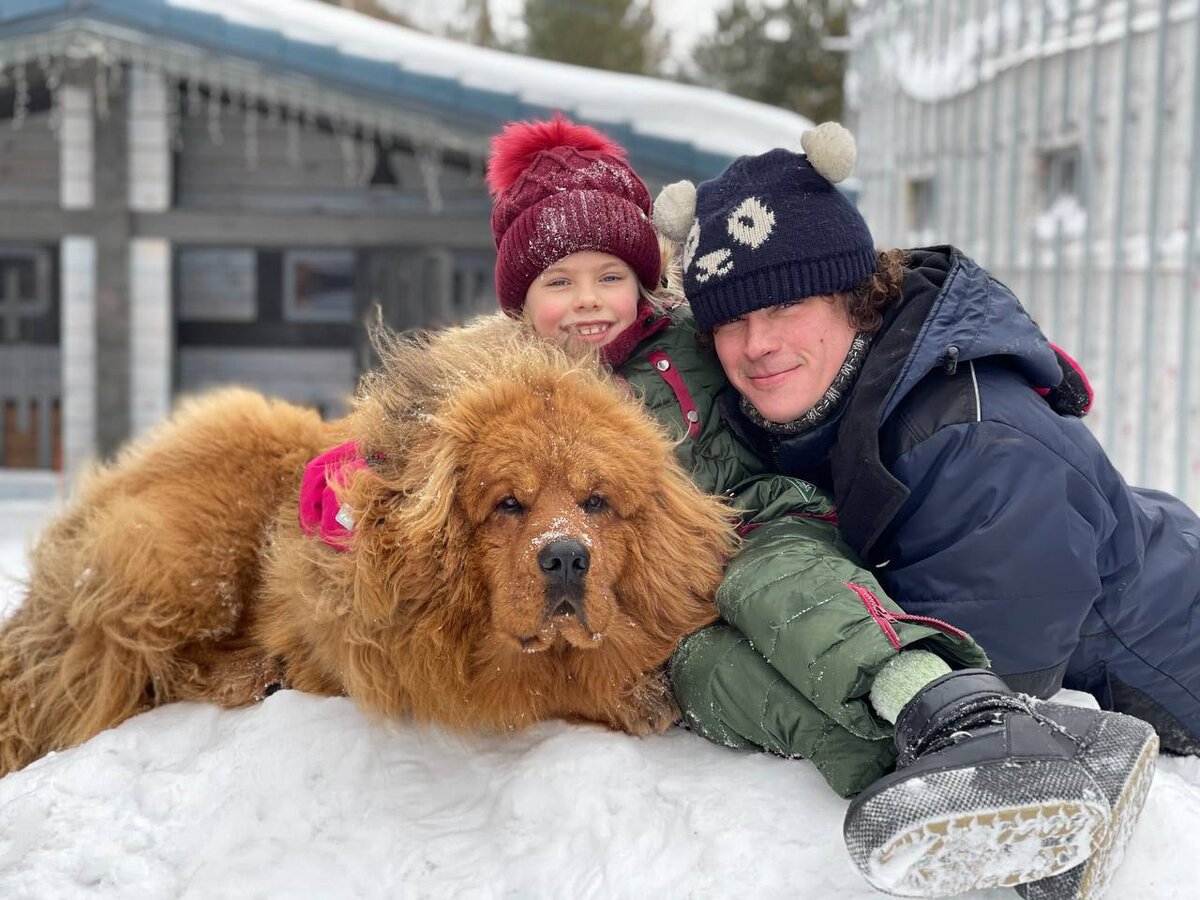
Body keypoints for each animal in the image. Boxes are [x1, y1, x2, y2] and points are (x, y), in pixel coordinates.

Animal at [0, 314, 729, 777]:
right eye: (508, 505)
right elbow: (543, 686)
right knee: (141, 649)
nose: (566, 557)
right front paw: (633, 695)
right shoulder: (419, 661)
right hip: (188, 563)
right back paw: (255, 673)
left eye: (596, 503)